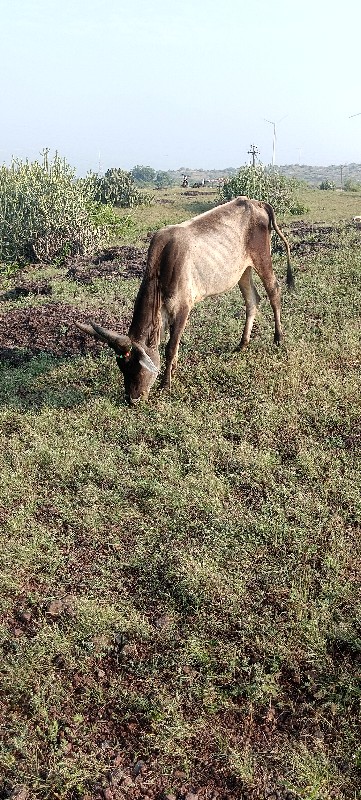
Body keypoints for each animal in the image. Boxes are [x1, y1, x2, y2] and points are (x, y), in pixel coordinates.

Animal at [75, 197, 292, 404]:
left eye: (136, 366)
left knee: (274, 291)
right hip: (243, 270)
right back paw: (242, 343)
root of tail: (257, 203)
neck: (161, 266)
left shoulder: (183, 308)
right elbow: (175, 344)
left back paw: (278, 338)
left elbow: (171, 347)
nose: (132, 399)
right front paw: (173, 370)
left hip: (262, 258)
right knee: (252, 300)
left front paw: (165, 383)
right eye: (122, 367)